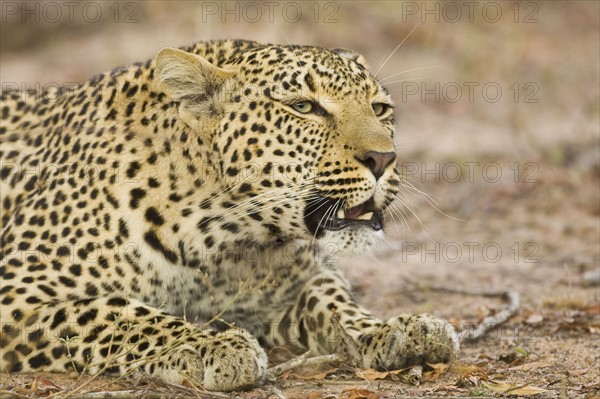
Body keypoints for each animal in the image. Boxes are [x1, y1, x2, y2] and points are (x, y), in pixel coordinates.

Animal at [1, 39, 460, 390]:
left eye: (380, 108)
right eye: (304, 107)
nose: (383, 158)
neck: (228, 236)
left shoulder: (299, 282)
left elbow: (334, 301)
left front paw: (395, 329)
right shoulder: (17, 292)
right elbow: (119, 313)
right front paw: (208, 346)